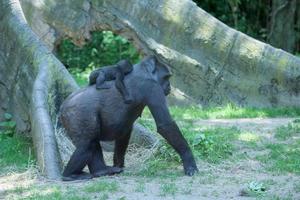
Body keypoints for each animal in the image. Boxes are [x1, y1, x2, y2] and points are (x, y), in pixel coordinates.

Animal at [59, 55, 198, 180]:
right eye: (166, 77)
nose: (169, 86)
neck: (145, 70)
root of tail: (62, 106)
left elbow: (124, 133)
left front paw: (118, 163)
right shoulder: (152, 86)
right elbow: (166, 125)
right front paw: (189, 162)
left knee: (93, 142)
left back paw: (101, 171)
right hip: (76, 112)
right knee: (86, 145)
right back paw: (69, 175)